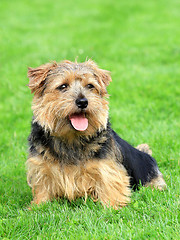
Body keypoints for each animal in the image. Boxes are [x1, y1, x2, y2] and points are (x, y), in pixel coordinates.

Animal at [26, 60, 167, 208]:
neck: (71, 138)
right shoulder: (41, 167)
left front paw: (113, 207)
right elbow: (43, 187)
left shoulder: (107, 168)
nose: (83, 102)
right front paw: (38, 206)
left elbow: (110, 185)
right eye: (63, 86)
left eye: (90, 86)